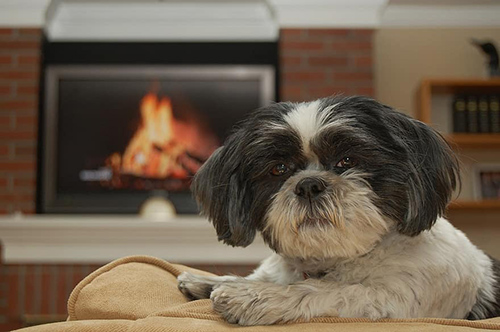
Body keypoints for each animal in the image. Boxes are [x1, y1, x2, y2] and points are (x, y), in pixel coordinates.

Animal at [177, 95, 500, 324]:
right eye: (278, 169)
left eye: (347, 161)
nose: (308, 184)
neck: (335, 260)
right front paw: (210, 280)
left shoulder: (396, 299)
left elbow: (330, 290)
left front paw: (253, 296)